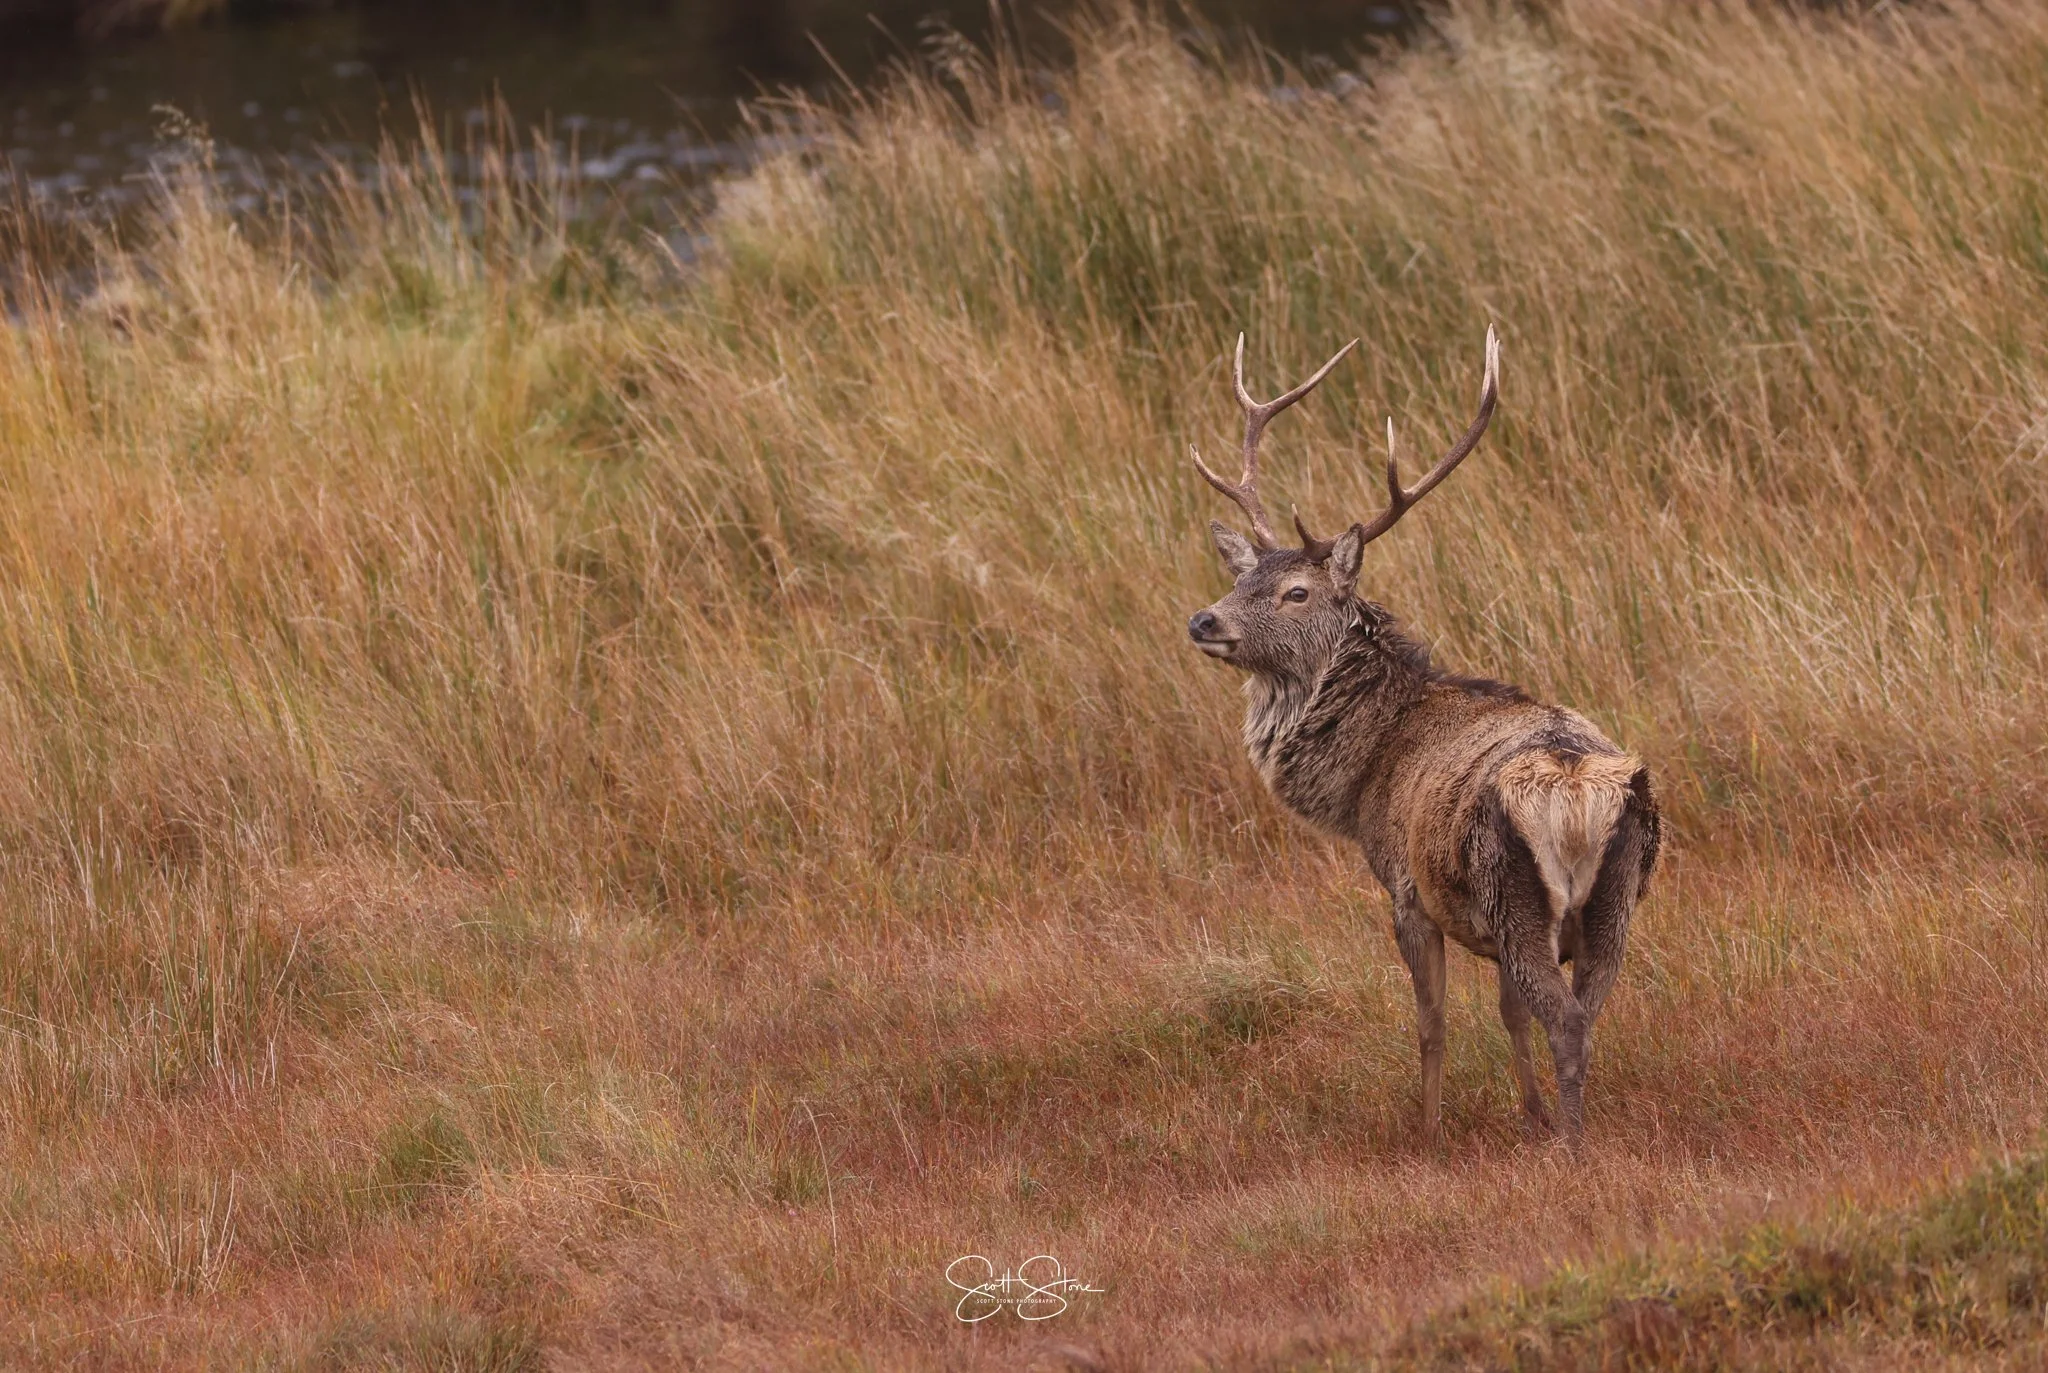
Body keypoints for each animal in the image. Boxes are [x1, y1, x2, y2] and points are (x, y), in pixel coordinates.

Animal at [1183, 327, 1659, 1145]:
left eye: (1296, 591)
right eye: (1242, 579)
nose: (1203, 620)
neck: (1368, 770)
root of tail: (1571, 790)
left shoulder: (1406, 889)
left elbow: (1432, 1020)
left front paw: (1429, 1129)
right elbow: (1508, 1015)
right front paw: (1526, 1114)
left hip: (1515, 889)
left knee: (1566, 1021)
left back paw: (1572, 1149)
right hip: (1612, 902)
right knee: (1587, 1014)